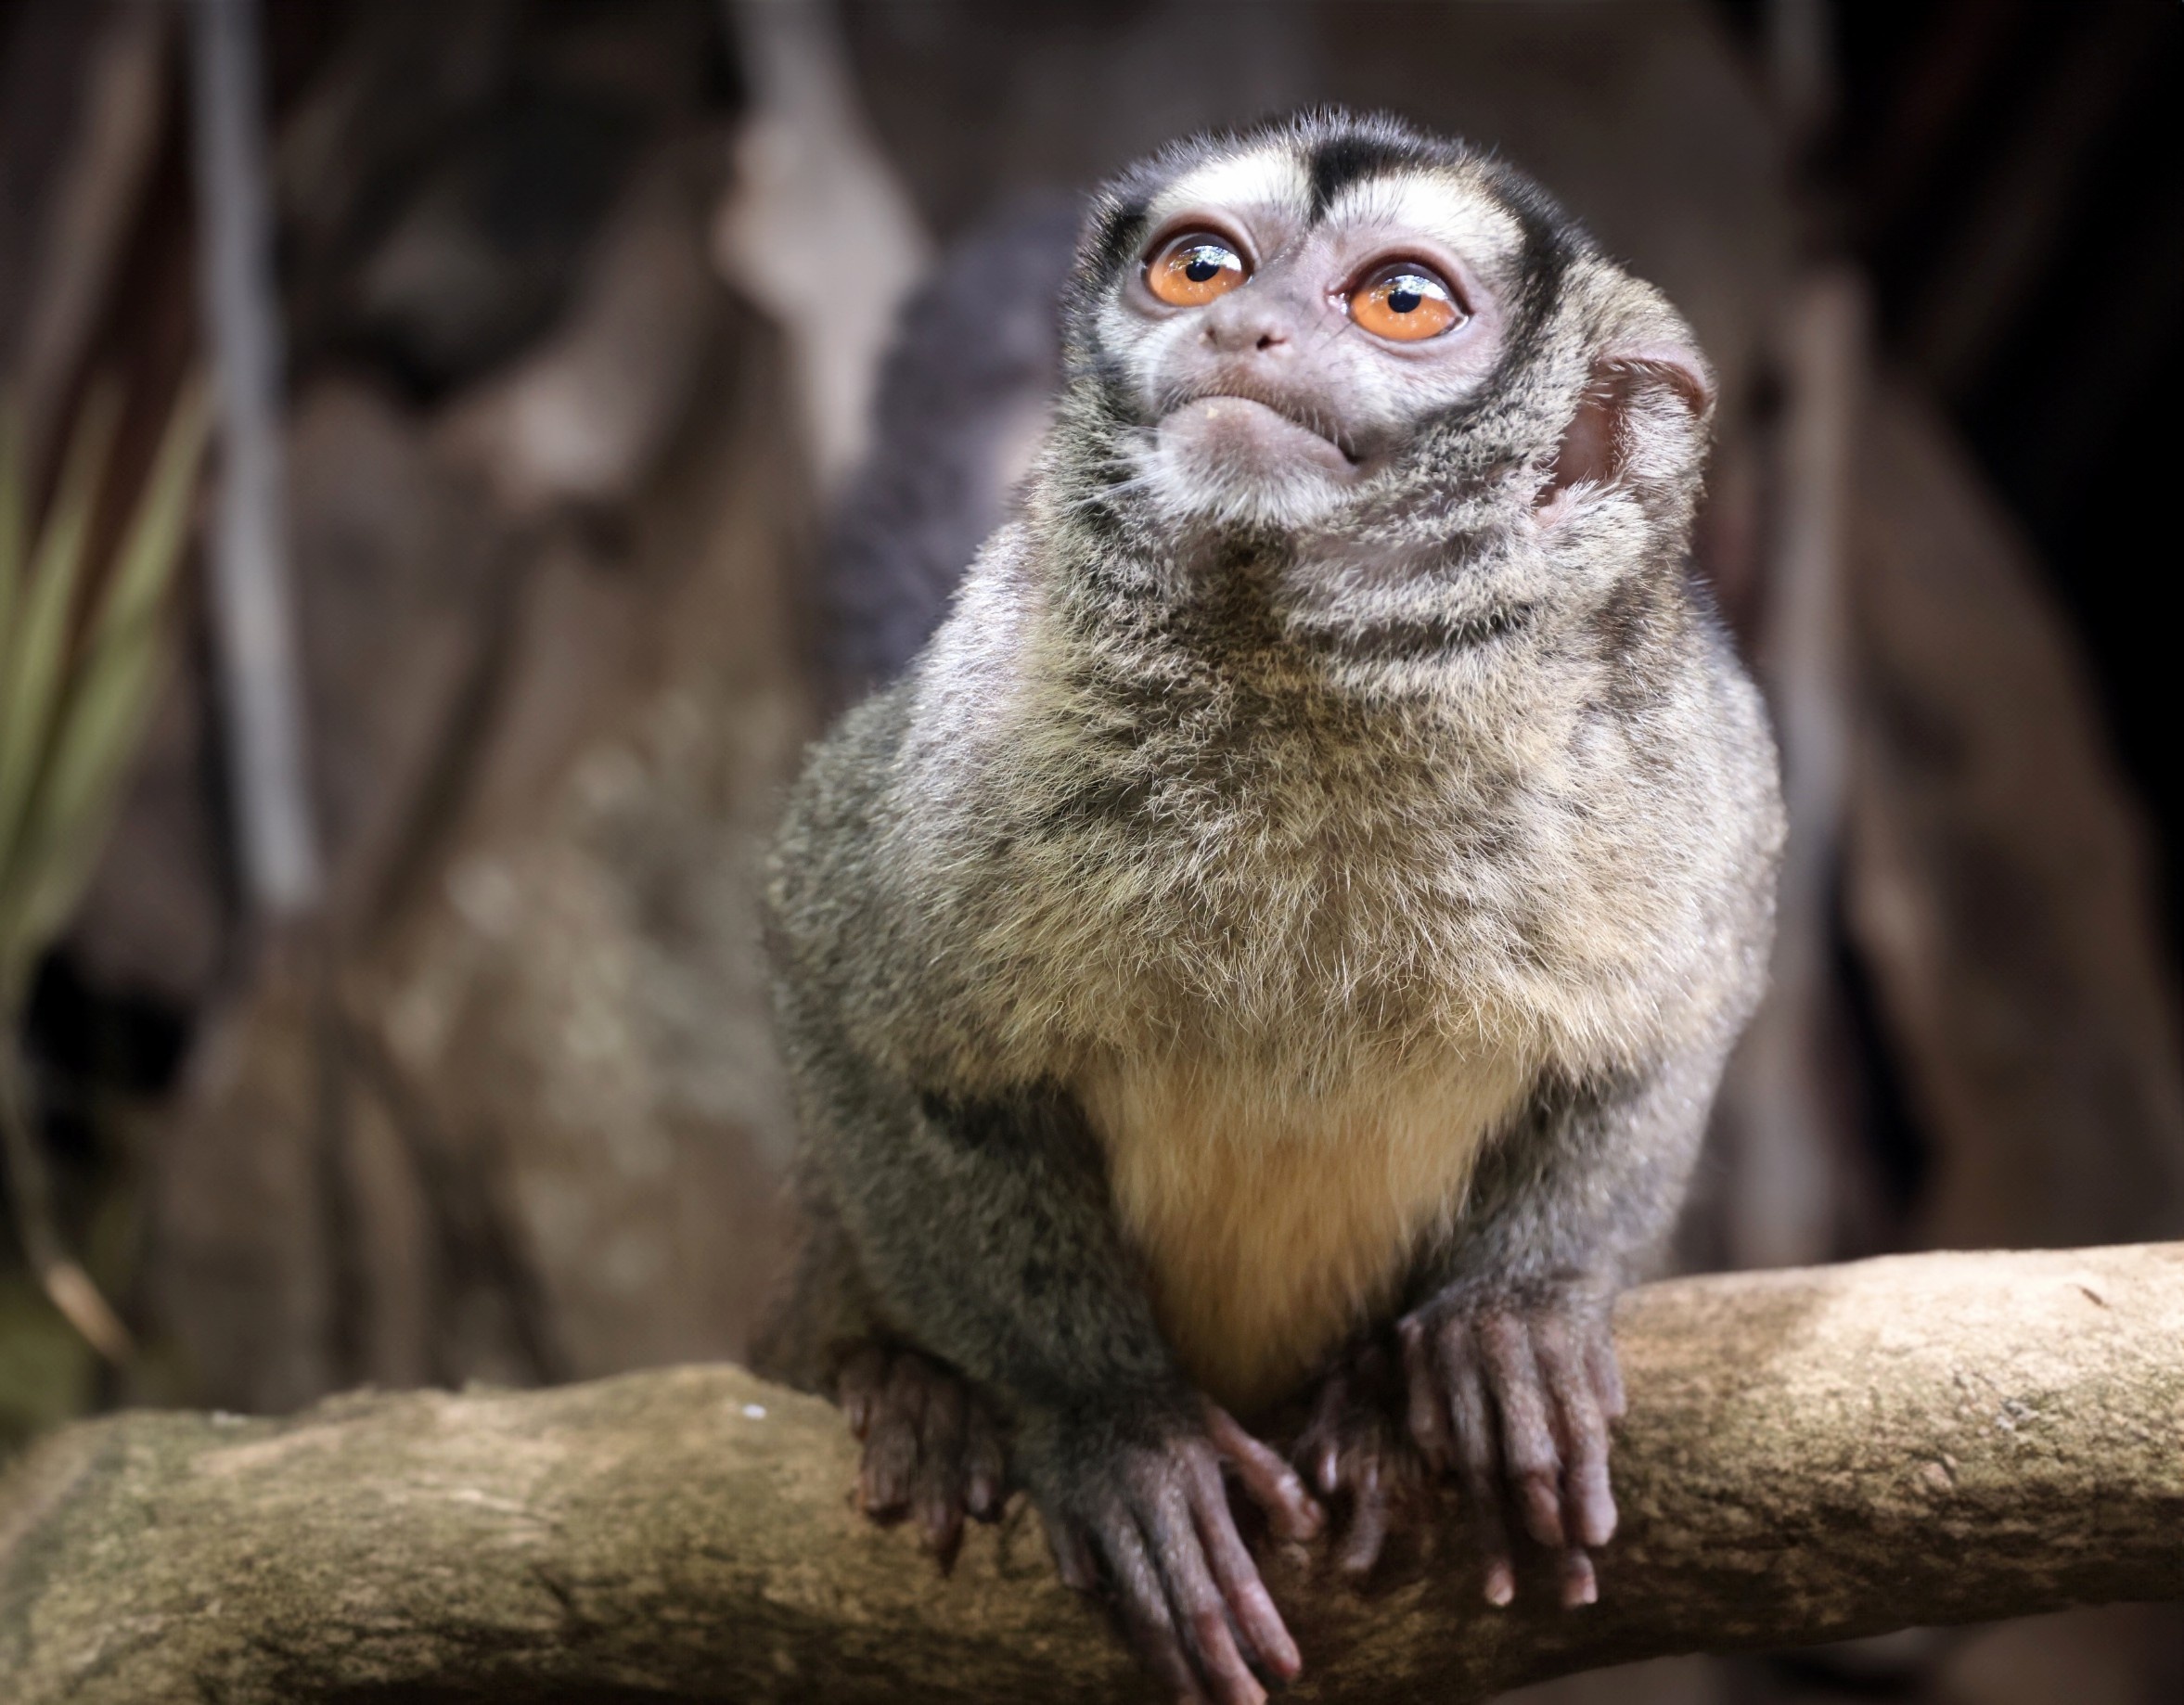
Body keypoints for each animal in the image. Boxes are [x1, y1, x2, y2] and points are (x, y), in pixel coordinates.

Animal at [759, 110, 1784, 1705]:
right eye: (1198, 267)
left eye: (1400, 301)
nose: (1238, 327)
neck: (1308, 682)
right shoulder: (973, 720)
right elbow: (849, 996)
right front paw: (1114, 1425)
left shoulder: (1685, 754)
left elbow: (1678, 1020)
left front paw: (1514, 1323)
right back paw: (906, 1391)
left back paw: (1364, 1407)